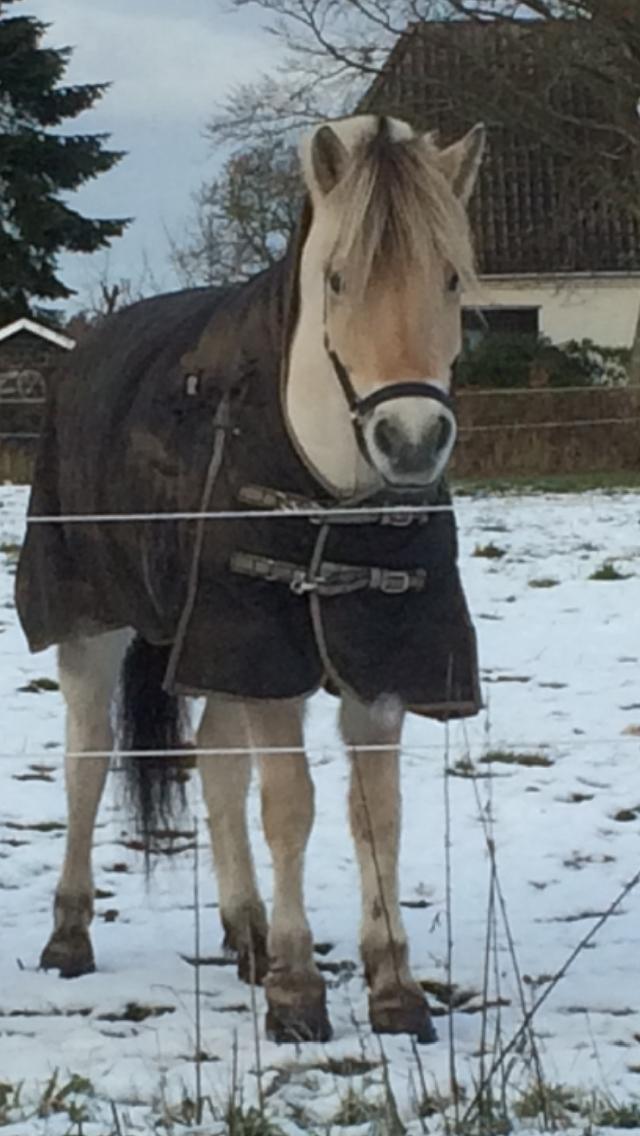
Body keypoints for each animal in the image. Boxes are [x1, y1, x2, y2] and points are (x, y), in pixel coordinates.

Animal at [16, 115, 486, 1045]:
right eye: (338, 278)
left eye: (451, 276)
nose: (410, 441)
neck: (331, 494)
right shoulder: (263, 652)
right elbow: (291, 805)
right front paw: (299, 991)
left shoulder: (366, 659)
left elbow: (374, 810)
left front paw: (392, 986)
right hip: (96, 627)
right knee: (88, 759)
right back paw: (70, 934)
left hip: (212, 648)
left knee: (213, 760)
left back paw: (247, 931)